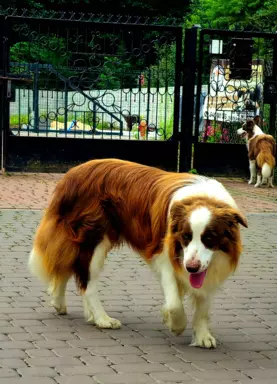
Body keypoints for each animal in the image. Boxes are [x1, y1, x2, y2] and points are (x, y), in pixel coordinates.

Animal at [28, 158, 246, 348]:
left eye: (209, 238)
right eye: (186, 236)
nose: (191, 268)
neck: (203, 197)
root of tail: (71, 174)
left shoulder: (208, 265)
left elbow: (203, 303)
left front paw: (202, 336)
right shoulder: (165, 255)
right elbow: (174, 302)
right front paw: (176, 324)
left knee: (68, 266)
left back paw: (61, 304)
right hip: (93, 237)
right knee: (86, 280)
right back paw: (102, 318)